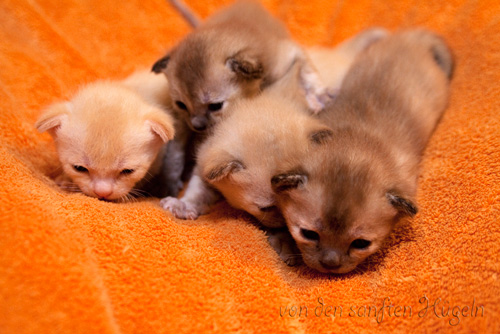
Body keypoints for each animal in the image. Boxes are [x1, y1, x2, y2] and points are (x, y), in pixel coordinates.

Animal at [153, 0, 332, 133]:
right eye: (181, 105)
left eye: (215, 106)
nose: (197, 126)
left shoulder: (288, 53)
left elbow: (308, 73)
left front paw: (317, 96)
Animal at [272, 29, 456, 274]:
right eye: (309, 234)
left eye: (361, 243)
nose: (330, 264)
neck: (358, 140)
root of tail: (413, 39)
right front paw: (284, 241)